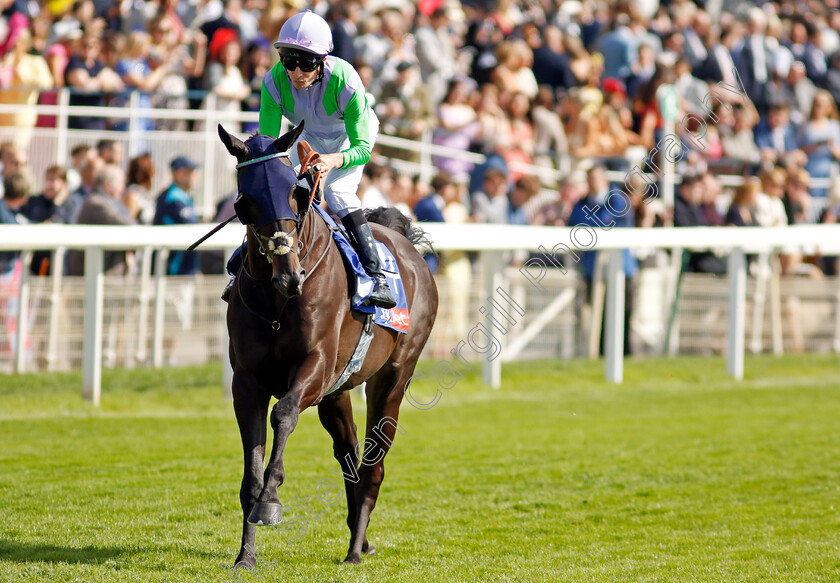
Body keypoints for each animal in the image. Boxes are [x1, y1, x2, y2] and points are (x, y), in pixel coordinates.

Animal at [217, 122, 440, 564]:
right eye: (246, 201)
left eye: (296, 193)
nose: (290, 275)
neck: (277, 303)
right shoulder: (247, 382)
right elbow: (251, 470)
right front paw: (245, 555)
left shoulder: (315, 366)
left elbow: (284, 413)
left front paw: (271, 501)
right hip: (337, 392)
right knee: (350, 455)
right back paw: (360, 537)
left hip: (393, 377)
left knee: (373, 463)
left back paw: (355, 549)